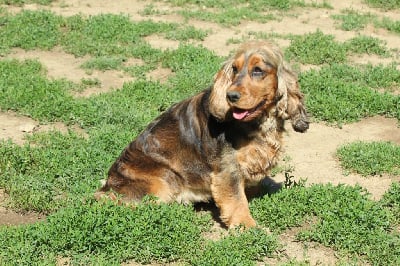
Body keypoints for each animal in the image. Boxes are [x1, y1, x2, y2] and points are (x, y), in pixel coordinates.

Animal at [95, 40, 308, 228]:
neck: (258, 121)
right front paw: (248, 226)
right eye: (235, 69)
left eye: (258, 70)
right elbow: (237, 200)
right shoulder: (227, 169)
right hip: (161, 180)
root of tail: (107, 184)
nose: (230, 96)